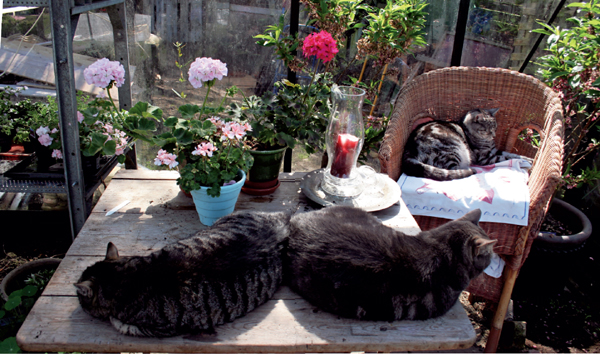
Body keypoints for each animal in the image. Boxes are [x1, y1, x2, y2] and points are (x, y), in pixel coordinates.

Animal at [400, 107, 532, 180]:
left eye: (495, 128)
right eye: (487, 130)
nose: (494, 135)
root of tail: (408, 151)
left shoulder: (494, 150)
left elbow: (512, 154)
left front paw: (528, 158)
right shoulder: (485, 157)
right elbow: (506, 157)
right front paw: (526, 162)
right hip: (452, 150)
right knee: (453, 170)